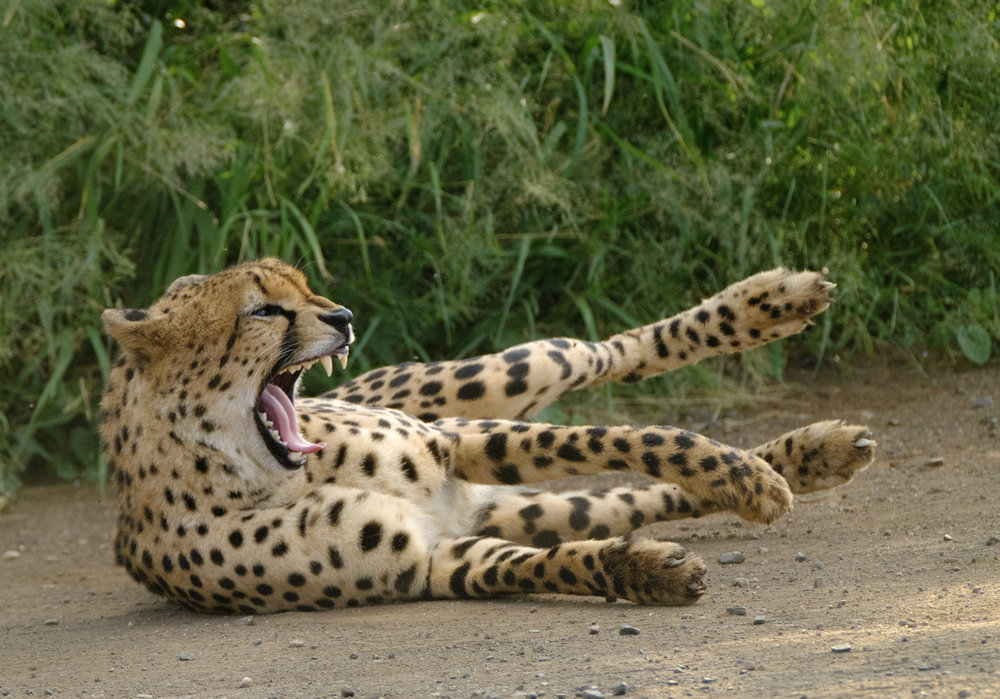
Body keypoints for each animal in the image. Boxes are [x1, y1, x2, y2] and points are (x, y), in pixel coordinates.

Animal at [100, 258, 875, 614]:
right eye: (263, 309)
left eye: (308, 289)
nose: (345, 316)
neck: (267, 469)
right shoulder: (427, 559)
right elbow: (545, 563)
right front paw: (645, 571)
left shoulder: (452, 442)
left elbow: (621, 437)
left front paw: (739, 474)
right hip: (535, 507)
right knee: (625, 503)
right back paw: (812, 454)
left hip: (503, 376)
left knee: (607, 350)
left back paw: (772, 304)